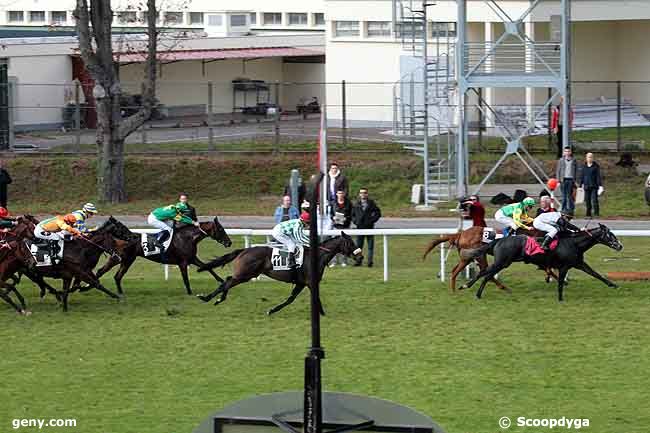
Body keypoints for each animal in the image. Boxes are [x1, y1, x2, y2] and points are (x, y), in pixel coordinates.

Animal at [93, 218, 230, 296]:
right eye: (221, 229)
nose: (229, 242)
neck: (187, 238)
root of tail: (117, 238)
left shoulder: (192, 259)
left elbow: (208, 267)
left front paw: (222, 281)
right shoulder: (183, 262)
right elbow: (186, 279)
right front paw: (190, 293)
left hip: (128, 260)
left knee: (117, 276)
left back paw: (120, 293)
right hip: (118, 258)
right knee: (101, 271)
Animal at [195, 233, 362, 314]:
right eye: (350, 243)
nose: (360, 256)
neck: (317, 256)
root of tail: (244, 250)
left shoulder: (301, 283)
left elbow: (290, 299)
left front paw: (272, 310)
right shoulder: (310, 282)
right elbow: (315, 298)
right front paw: (322, 314)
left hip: (246, 275)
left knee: (228, 280)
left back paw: (218, 299)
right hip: (245, 274)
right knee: (227, 282)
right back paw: (206, 298)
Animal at [464, 223, 620, 300]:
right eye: (609, 235)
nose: (619, 246)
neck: (574, 243)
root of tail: (499, 240)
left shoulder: (578, 263)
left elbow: (596, 274)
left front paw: (613, 284)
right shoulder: (564, 267)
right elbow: (560, 283)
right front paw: (560, 298)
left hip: (503, 262)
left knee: (485, 272)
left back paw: (467, 286)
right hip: (502, 262)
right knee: (487, 274)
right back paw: (476, 293)